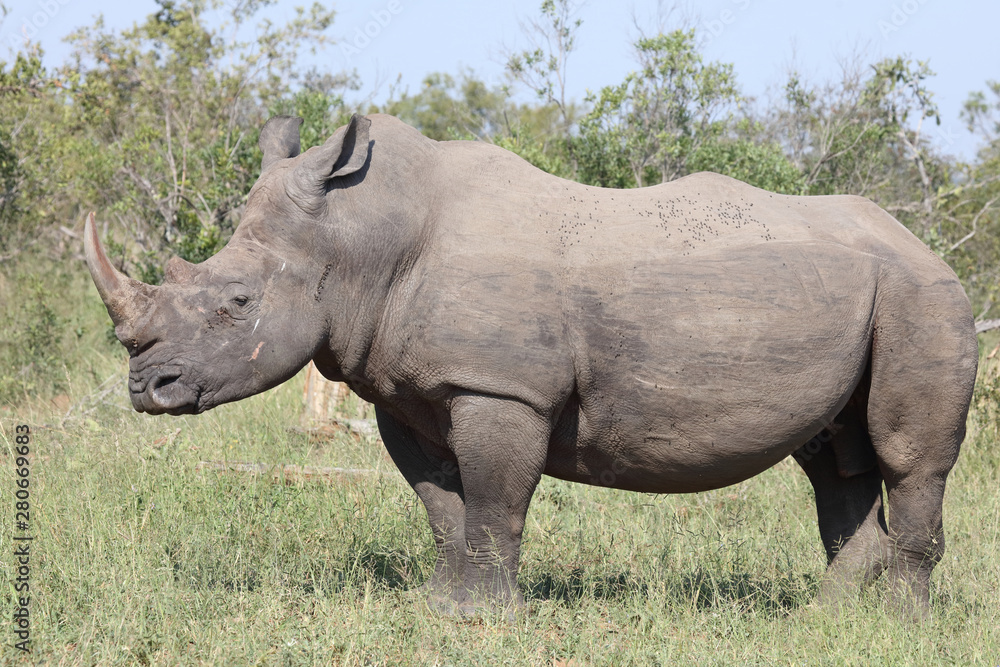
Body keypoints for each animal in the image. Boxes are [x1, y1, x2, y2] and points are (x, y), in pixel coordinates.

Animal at [84, 113, 978, 619]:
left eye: (236, 302)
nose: (146, 389)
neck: (360, 240)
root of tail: (920, 242)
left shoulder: (500, 387)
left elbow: (494, 498)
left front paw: (487, 621)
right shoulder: (409, 391)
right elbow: (443, 504)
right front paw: (444, 609)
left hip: (925, 295)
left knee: (907, 455)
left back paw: (898, 629)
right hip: (862, 292)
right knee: (836, 460)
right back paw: (826, 621)